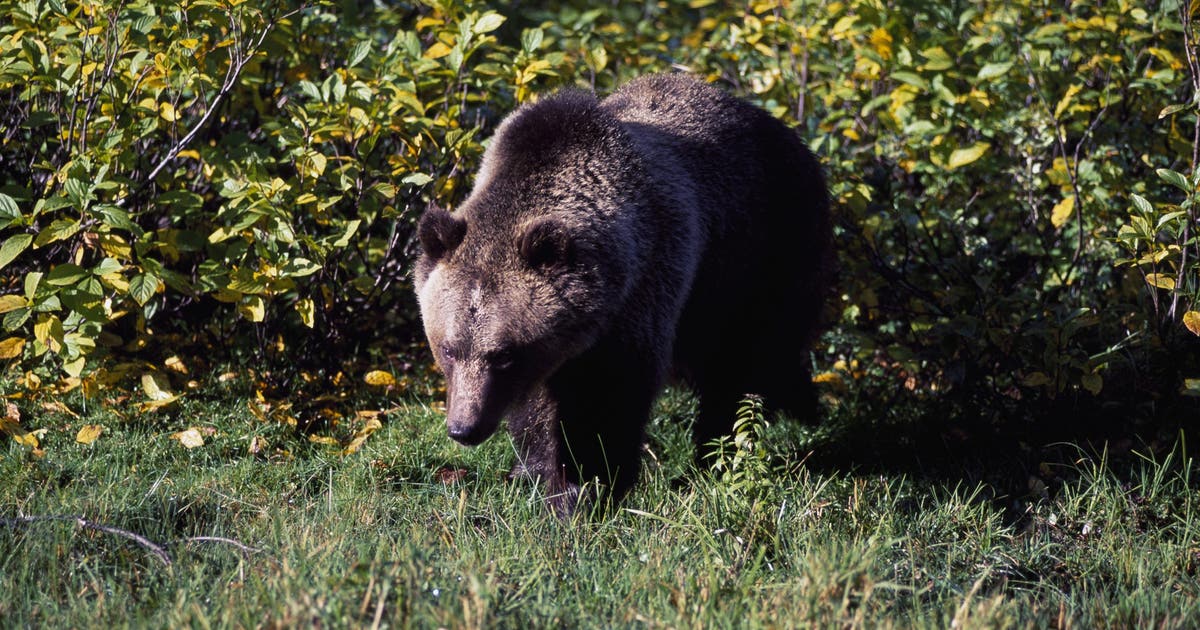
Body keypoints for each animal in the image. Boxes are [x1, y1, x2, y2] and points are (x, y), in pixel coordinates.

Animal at [413, 73, 832, 516]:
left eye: (504, 354)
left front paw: (584, 487)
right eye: (448, 348)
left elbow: (607, 396)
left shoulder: (641, 292)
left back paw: (718, 455)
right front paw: (534, 471)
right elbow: (538, 408)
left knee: (743, 365)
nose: (464, 428)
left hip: (761, 256)